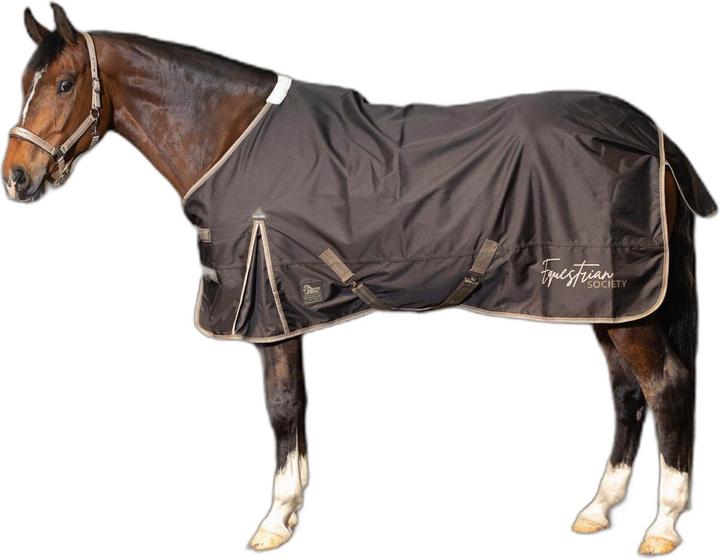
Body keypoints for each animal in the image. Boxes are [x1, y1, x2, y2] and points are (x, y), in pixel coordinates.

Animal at [2, 4, 715, 554]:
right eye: (25, 81)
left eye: (64, 84)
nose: (16, 178)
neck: (234, 138)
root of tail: (652, 135)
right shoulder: (286, 307)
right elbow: (297, 409)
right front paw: (292, 509)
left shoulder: (271, 307)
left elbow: (282, 407)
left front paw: (273, 520)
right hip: (607, 302)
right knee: (627, 395)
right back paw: (597, 509)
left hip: (625, 303)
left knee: (666, 386)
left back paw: (662, 525)